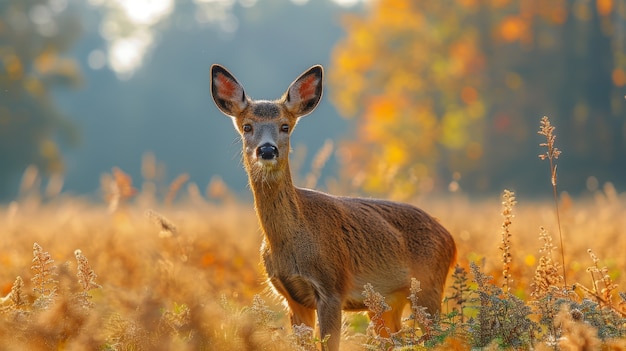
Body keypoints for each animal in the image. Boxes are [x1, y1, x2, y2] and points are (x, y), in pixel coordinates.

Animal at [208, 64, 454, 351]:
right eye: (247, 126)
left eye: (285, 126)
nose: (267, 150)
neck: (291, 245)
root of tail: (450, 239)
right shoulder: (292, 297)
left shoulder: (333, 286)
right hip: (387, 303)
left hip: (429, 286)